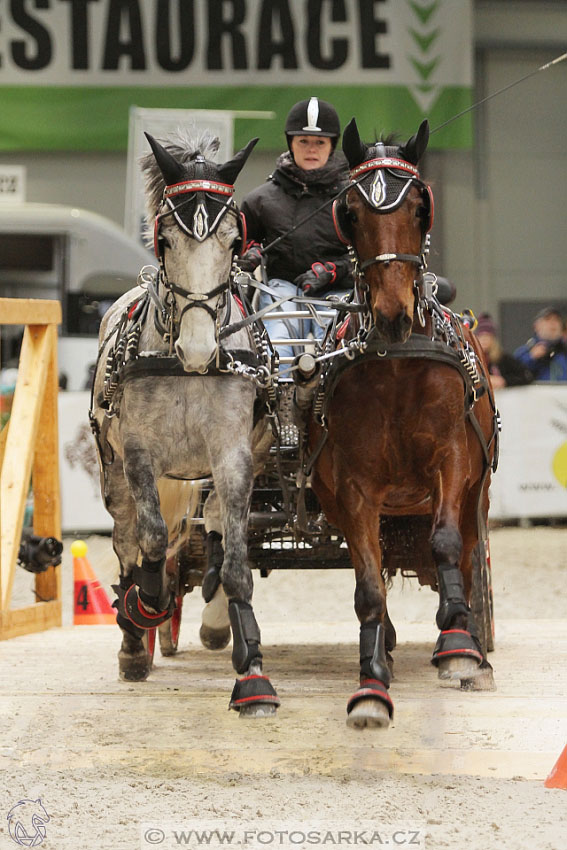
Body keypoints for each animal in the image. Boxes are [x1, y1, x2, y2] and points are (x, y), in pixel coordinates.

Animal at [90, 129, 278, 712]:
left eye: (234, 244)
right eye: (166, 241)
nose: (198, 349)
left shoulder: (235, 456)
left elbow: (237, 560)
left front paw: (252, 666)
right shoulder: (138, 457)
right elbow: (151, 540)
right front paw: (144, 606)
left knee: (213, 524)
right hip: (114, 475)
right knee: (129, 541)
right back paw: (134, 639)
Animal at [308, 117, 500, 728]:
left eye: (420, 207)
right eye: (350, 211)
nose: (392, 314)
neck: (395, 359)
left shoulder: (453, 460)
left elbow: (443, 545)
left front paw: (458, 648)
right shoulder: (354, 486)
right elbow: (368, 585)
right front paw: (371, 682)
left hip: (476, 492)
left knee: (465, 550)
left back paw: (471, 644)